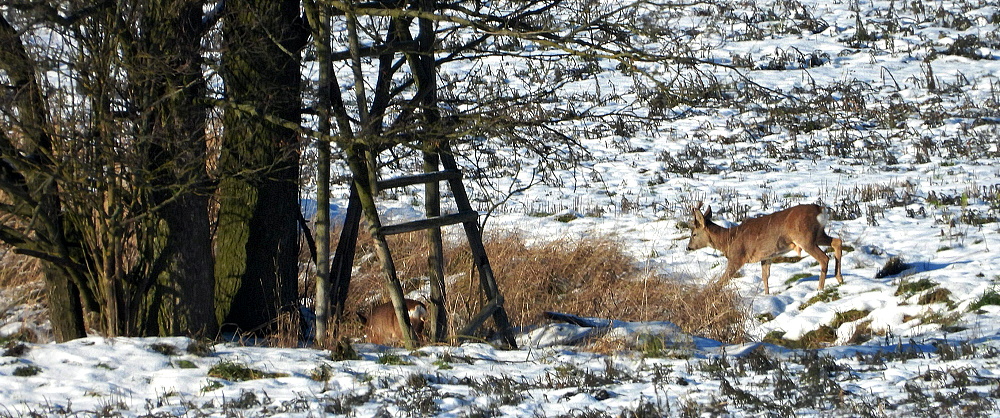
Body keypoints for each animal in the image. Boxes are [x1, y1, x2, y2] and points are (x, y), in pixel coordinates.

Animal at [684, 202, 840, 294]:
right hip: (818, 234)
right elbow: (765, 277)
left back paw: (820, 288)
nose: (688, 247)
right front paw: (766, 295)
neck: (728, 240)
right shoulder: (766, 256)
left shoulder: (737, 257)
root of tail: (820, 210)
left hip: (805, 238)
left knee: (824, 258)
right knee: (837, 241)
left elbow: (723, 280)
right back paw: (839, 278)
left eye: (694, 234)